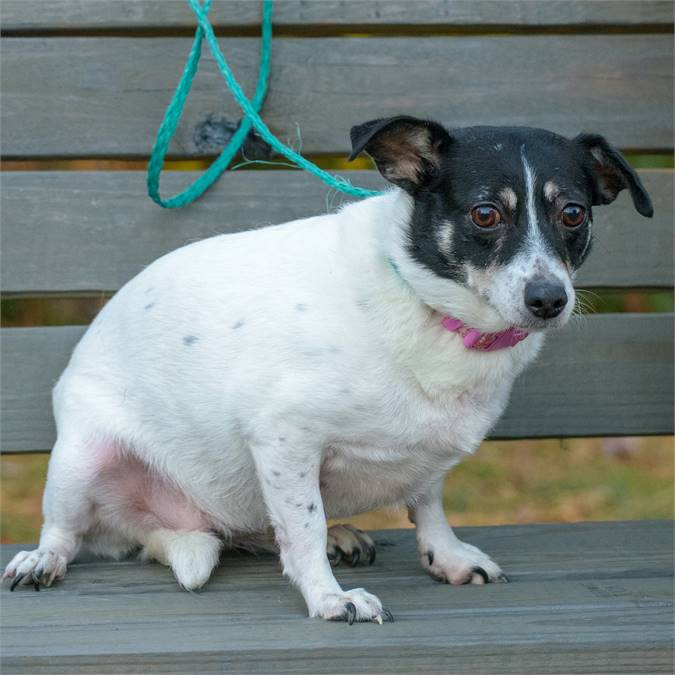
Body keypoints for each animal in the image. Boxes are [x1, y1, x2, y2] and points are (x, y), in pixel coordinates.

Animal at [2, 115, 652, 624]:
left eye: (573, 213)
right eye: (486, 214)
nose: (550, 299)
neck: (429, 307)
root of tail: (160, 530)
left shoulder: (424, 454)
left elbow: (428, 504)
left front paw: (445, 557)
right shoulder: (284, 439)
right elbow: (304, 528)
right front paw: (328, 599)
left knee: (259, 532)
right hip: (80, 461)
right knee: (66, 531)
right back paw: (42, 560)